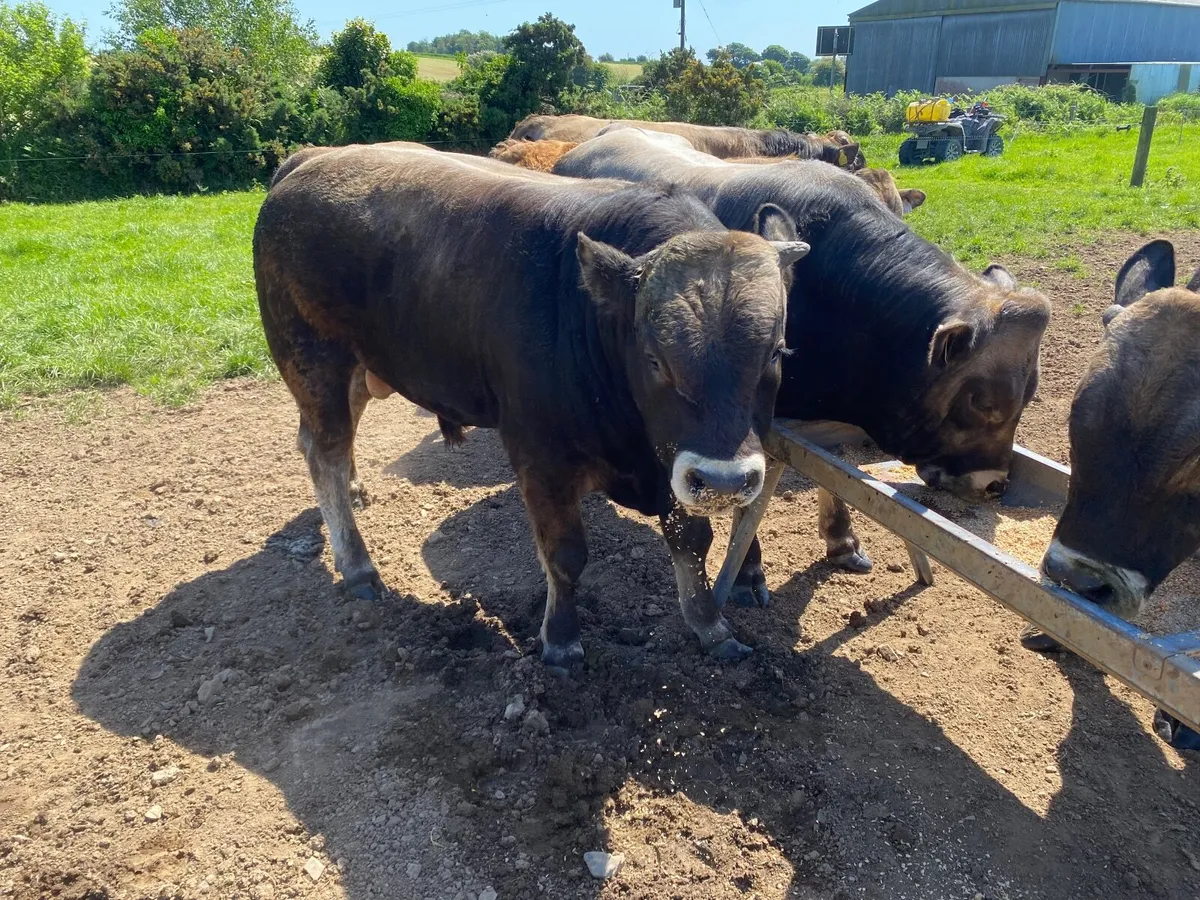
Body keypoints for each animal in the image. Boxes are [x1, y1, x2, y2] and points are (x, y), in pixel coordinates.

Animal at [254, 144, 810, 667]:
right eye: (654, 359)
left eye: (777, 352)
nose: (723, 481)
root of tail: (312, 161)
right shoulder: (540, 456)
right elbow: (566, 555)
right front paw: (560, 641)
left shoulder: (670, 461)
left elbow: (692, 539)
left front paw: (709, 624)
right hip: (314, 360)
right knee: (324, 451)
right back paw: (357, 565)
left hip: (361, 368)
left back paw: (355, 489)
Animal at [554, 127, 1050, 605]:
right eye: (982, 400)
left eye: (1030, 393)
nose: (994, 483)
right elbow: (744, 497)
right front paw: (748, 573)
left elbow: (832, 478)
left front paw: (842, 541)